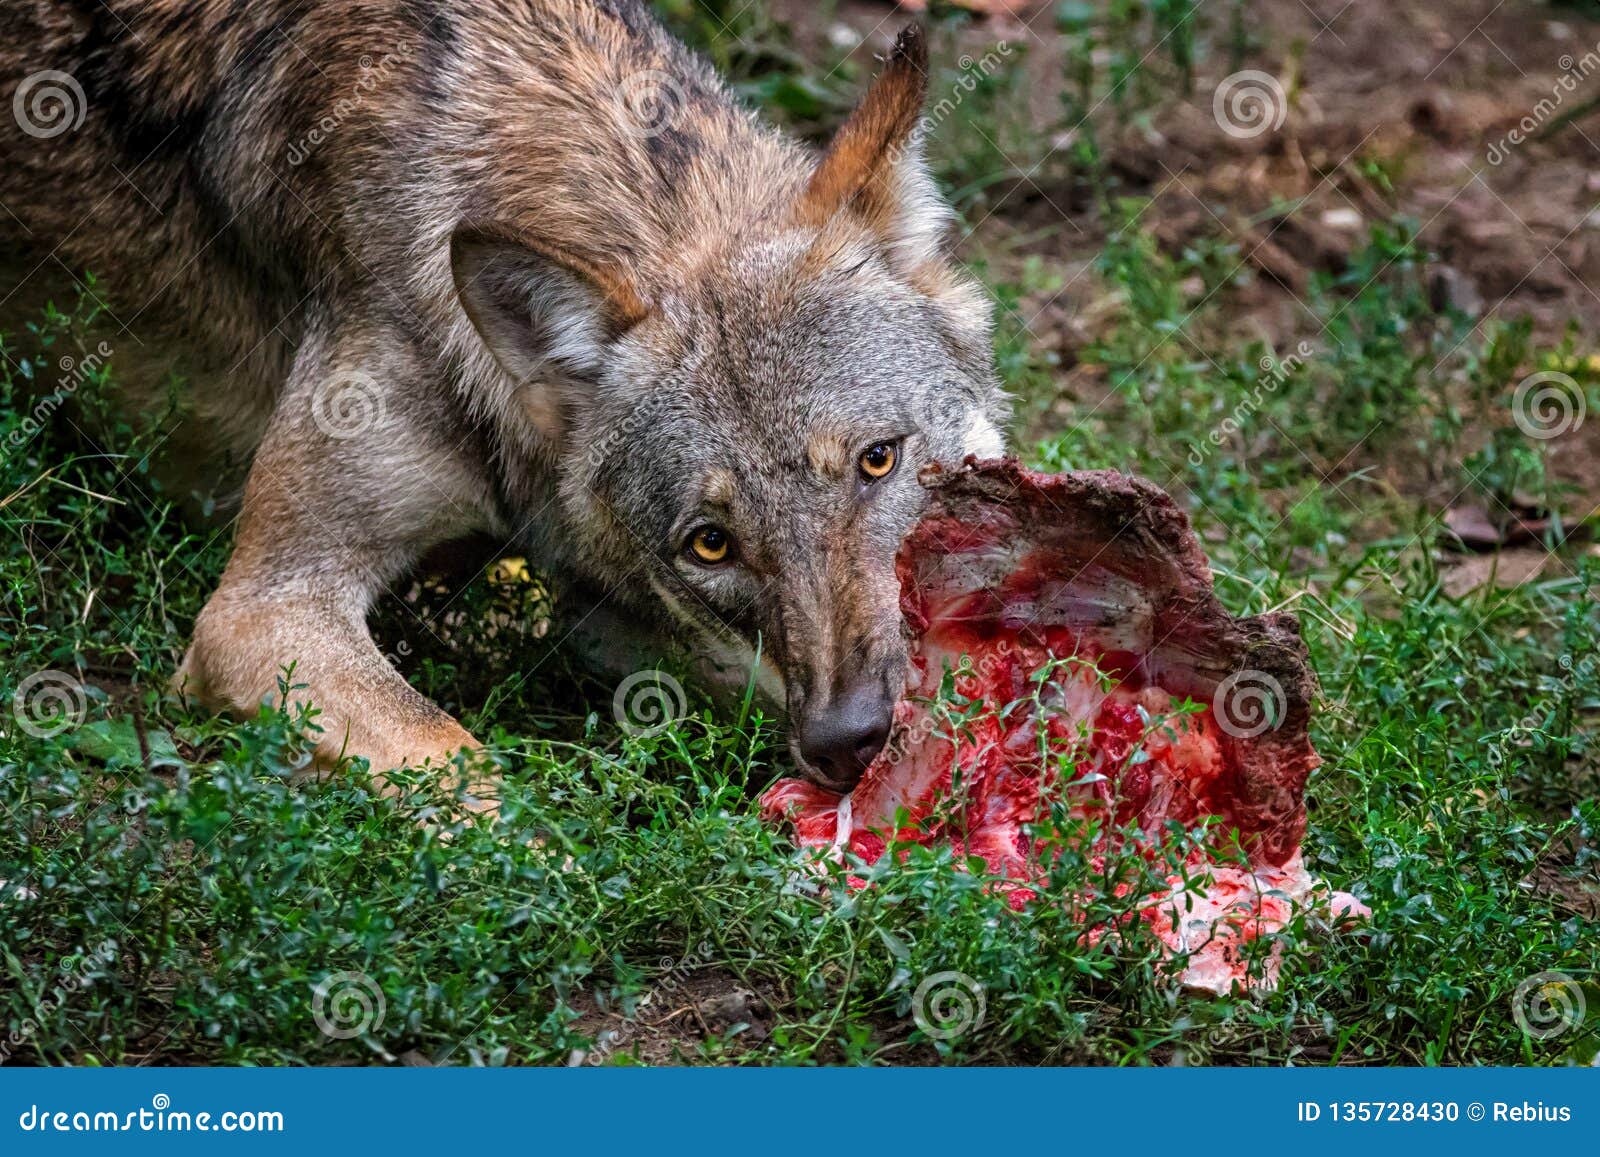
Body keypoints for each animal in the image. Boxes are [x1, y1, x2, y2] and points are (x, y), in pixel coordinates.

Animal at [0, 1, 1006, 807]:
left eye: (879, 459)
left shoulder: (604, 611)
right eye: (710, 544)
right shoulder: (257, 617)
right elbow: (473, 776)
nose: (846, 742)